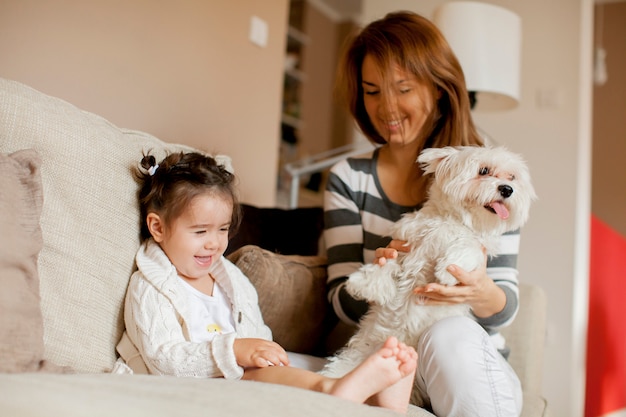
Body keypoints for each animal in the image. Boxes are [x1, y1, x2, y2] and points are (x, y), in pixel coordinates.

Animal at [322, 145, 536, 404]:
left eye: (512, 177)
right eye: (484, 170)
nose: (507, 189)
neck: (455, 221)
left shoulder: (476, 247)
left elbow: (467, 247)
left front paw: (447, 271)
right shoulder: (406, 243)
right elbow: (389, 261)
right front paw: (365, 282)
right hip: (356, 357)